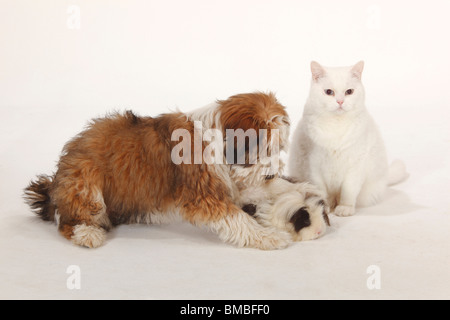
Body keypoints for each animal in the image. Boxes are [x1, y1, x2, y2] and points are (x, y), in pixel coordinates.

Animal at [23, 91, 326, 249]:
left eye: (280, 148)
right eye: (266, 148)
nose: (271, 174)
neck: (217, 139)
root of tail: (53, 189)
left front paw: (299, 186)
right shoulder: (202, 192)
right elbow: (236, 217)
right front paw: (268, 236)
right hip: (85, 182)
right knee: (67, 222)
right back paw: (87, 233)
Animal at [288, 60, 408, 215]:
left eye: (349, 92)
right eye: (329, 92)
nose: (340, 101)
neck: (337, 124)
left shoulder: (355, 167)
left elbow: (348, 191)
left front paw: (345, 208)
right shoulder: (314, 167)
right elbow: (321, 191)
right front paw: (324, 208)